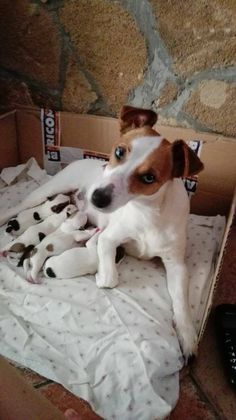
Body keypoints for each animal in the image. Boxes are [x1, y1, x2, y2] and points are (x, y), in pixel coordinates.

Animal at [0, 106, 203, 358]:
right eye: (119, 151)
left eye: (149, 177)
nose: (96, 197)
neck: (148, 213)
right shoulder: (108, 239)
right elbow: (109, 278)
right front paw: (101, 276)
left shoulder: (176, 265)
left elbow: (181, 302)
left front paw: (187, 335)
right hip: (45, 192)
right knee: (15, 208)